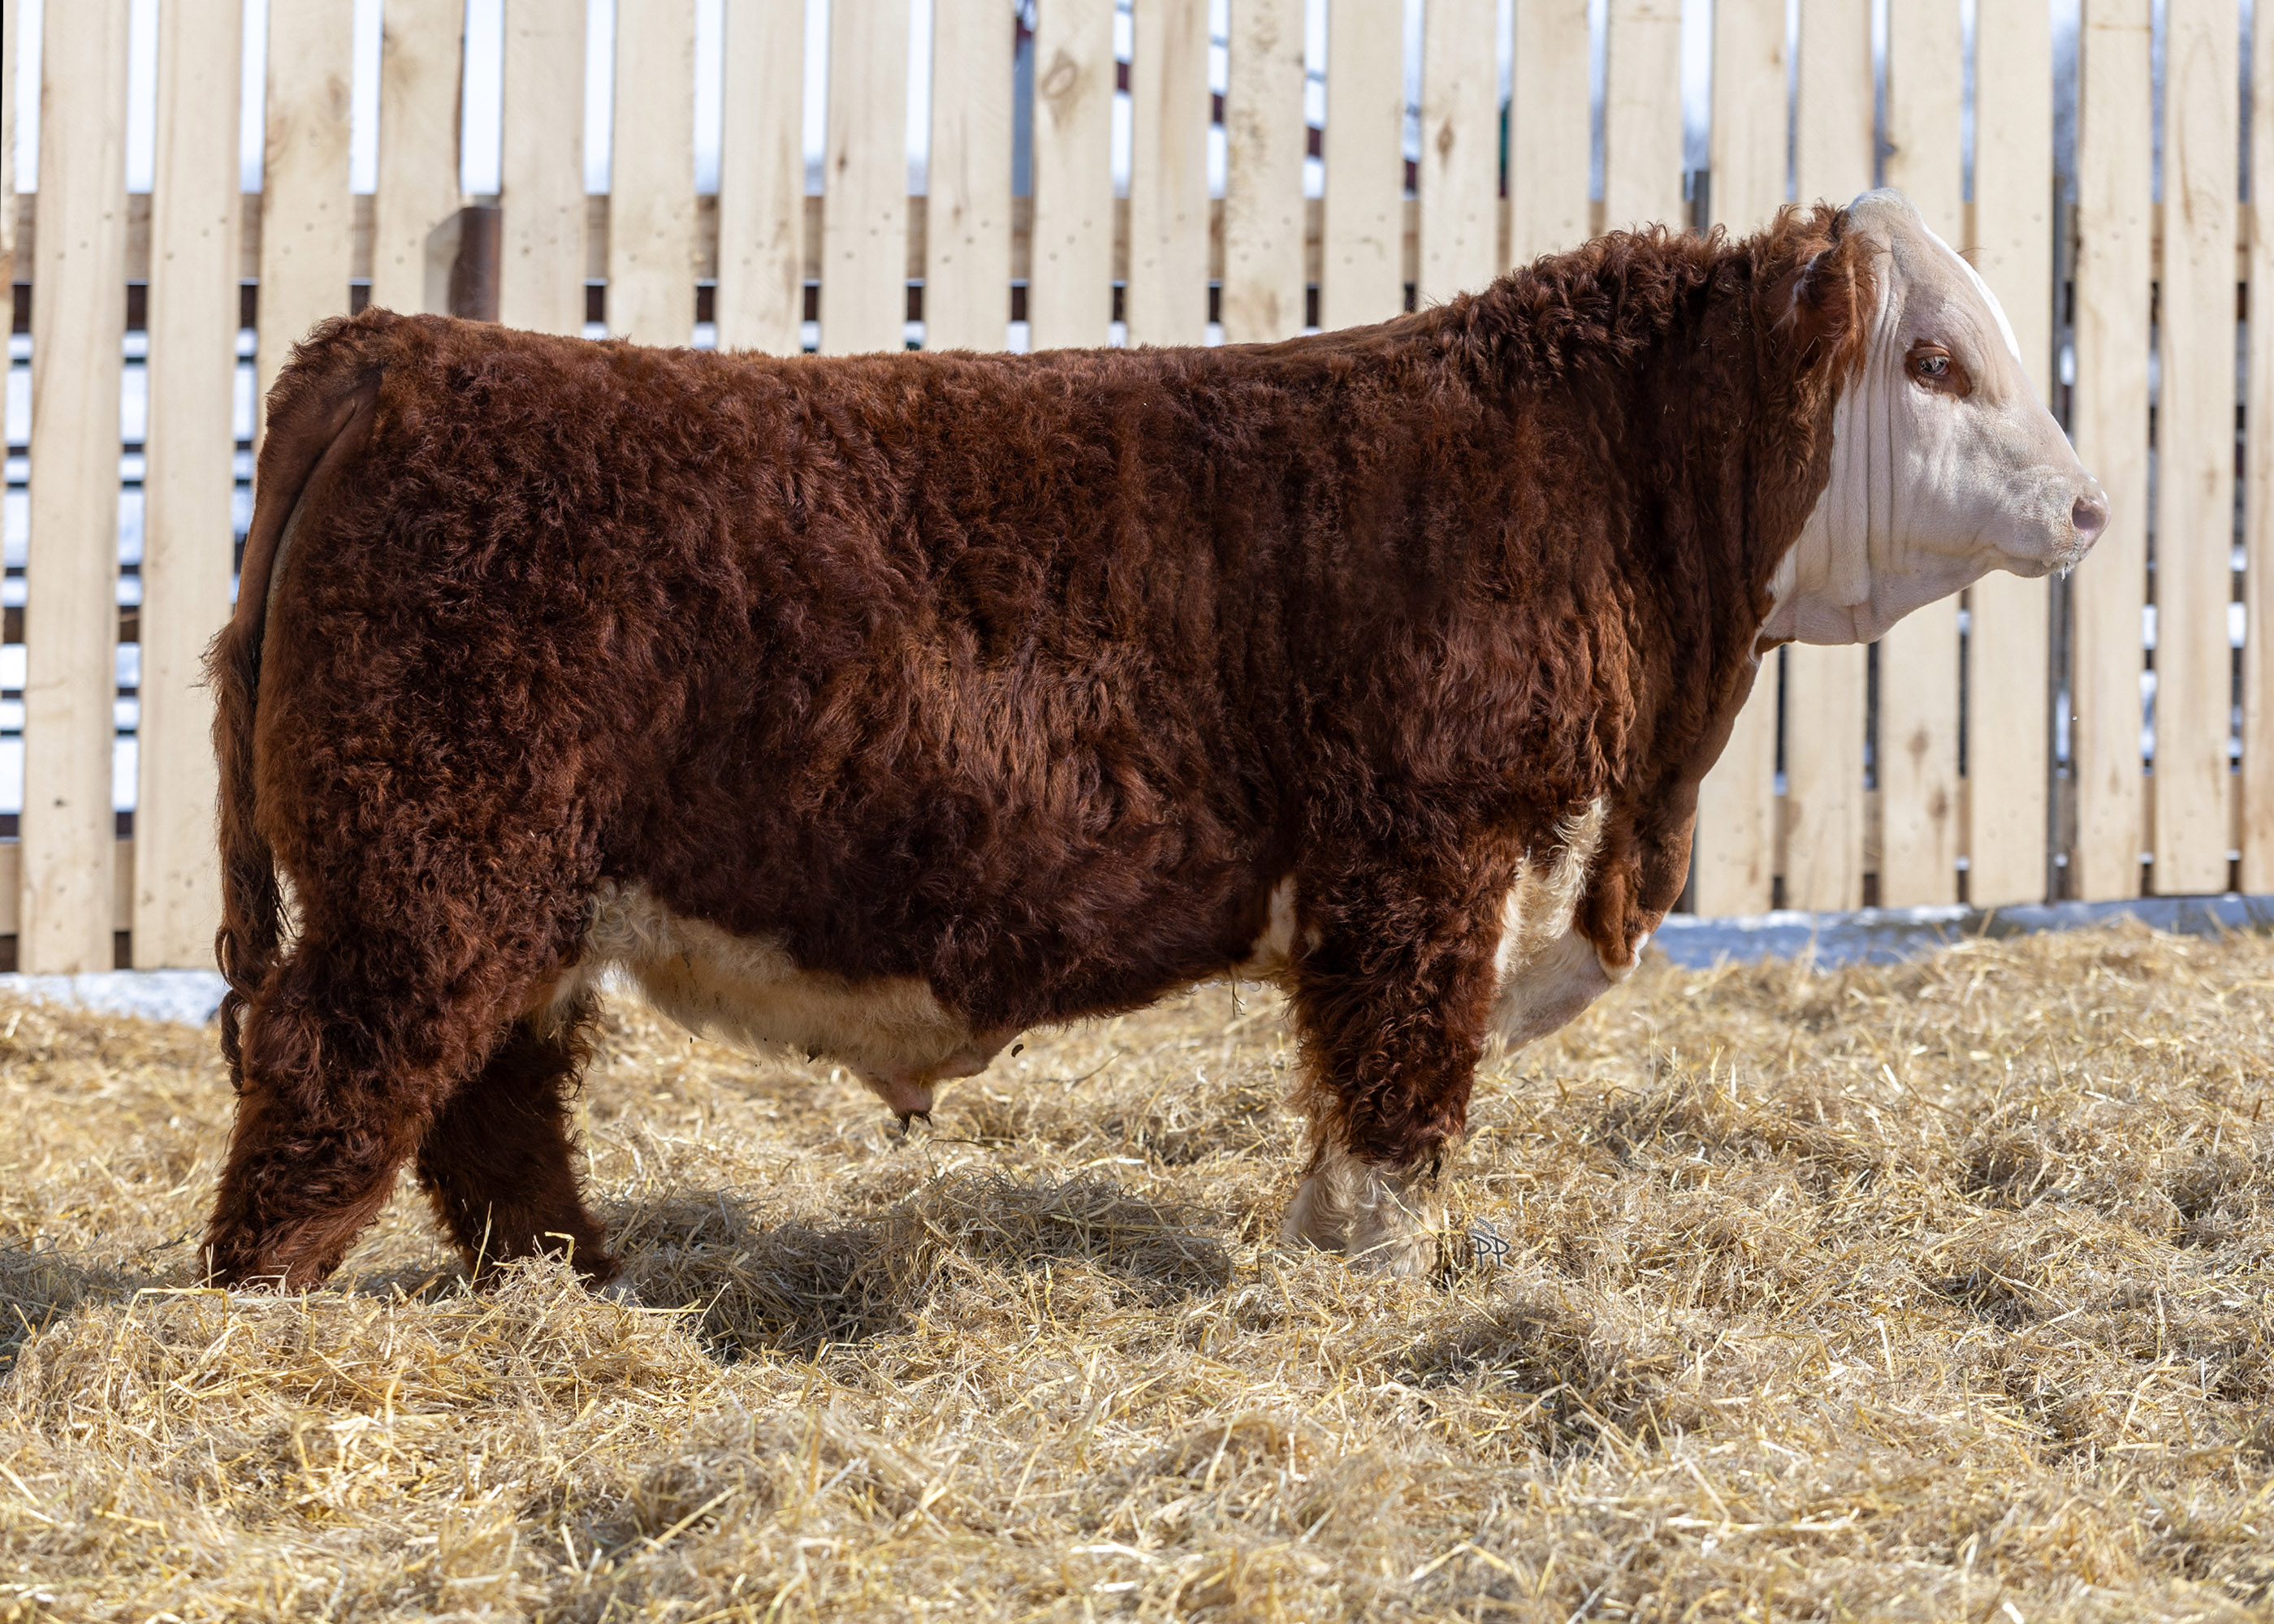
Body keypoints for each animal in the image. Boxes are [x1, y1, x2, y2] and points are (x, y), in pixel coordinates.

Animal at [202, 189, 2104, 1290]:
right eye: (1934, 360)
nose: (2090, 504)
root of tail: (404, 347)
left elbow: (1372, 1084)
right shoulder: (1423, 847)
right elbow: (1404, 1076)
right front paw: (1374, 1273)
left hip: (513, 890)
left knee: (491, 1099)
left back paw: (569, 1286)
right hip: (431, 867)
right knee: (337, 1067)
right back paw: (267, 1309)